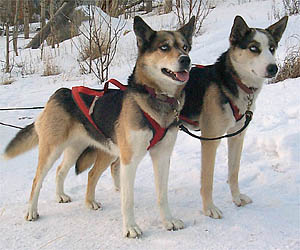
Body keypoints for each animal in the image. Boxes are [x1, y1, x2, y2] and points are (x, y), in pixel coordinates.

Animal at [4, 16, 197, 237]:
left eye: (185, 47)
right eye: (164, 47)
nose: (186, 59)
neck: (157, 98)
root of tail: (59, 93)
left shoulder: (162, 156)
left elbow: (162, 195)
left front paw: (168, 221)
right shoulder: (129, 160)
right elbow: (127, 199)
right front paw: (130, 227)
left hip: (85, 150)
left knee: (67, 171)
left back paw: (71, 198)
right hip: (53, 149)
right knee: (38, 179)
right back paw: (31, 211)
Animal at [75, 15, 288, 219]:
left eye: (272, 48)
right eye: (254, 48)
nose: (273, 68)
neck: (229, 82)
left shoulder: (236, 136)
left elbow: (234, 171)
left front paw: (236, 198)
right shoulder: (210, 139)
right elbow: (207, 179)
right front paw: (209, 208)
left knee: (114, 166)